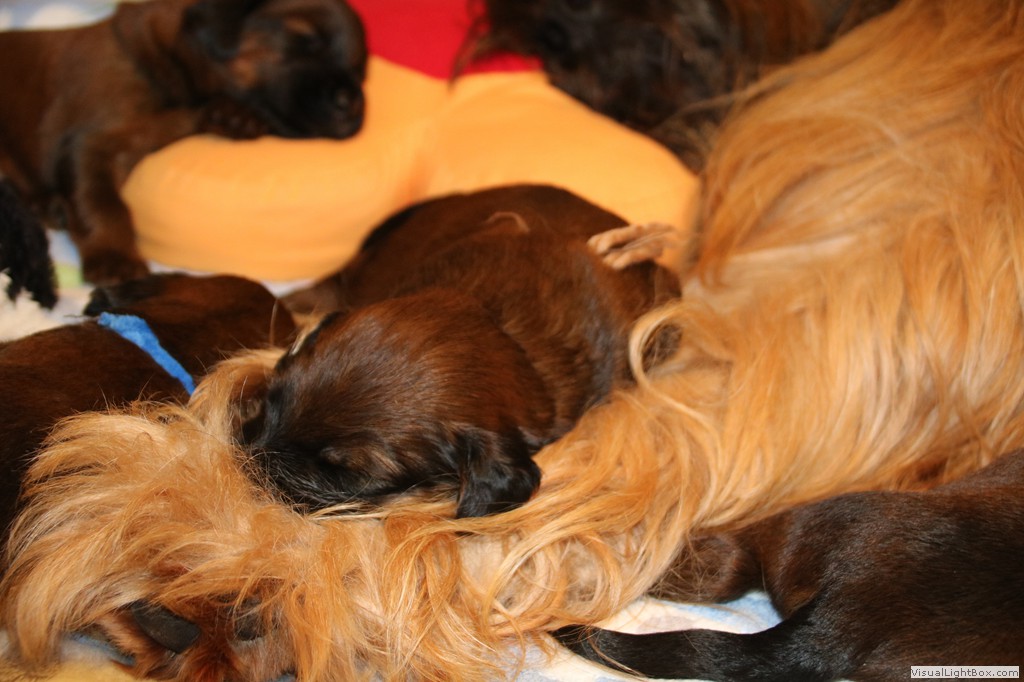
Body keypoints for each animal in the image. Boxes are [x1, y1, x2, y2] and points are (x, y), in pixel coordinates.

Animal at [0, 0, 366, 285]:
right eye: (304, 38)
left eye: (359, 70)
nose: (351, 103)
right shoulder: (90, 142)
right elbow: (101, 203)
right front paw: (114, 259)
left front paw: (236, 117)